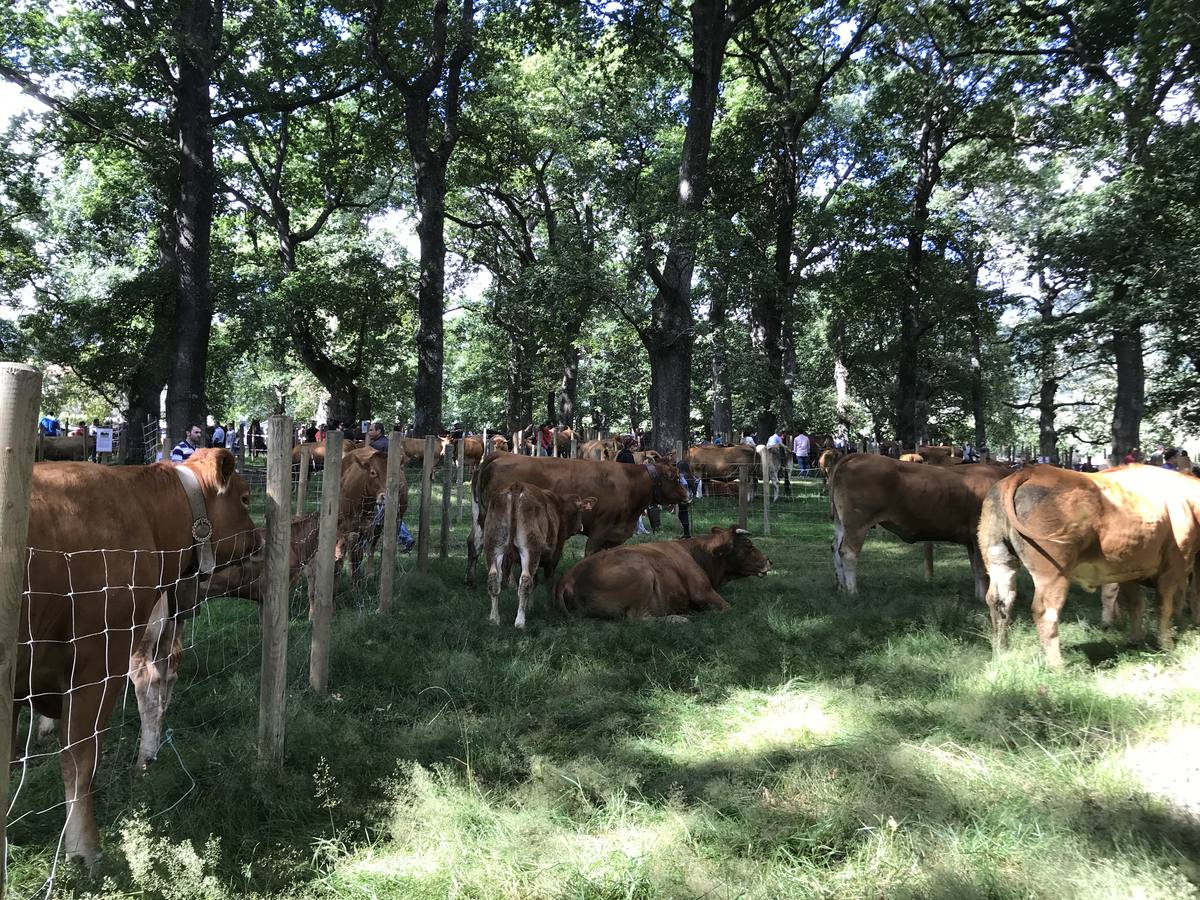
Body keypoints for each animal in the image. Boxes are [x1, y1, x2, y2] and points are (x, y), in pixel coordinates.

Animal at [468, 458, 686, 585]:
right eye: (676, 477)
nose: (688, 494)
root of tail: (498, 456)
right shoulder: (600, 528)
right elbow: (589, 554)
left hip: (481, 516)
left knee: (474, 542)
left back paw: (470, 580)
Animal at [552, 525, 768, 624]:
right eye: (748, 545)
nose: (769, 561)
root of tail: (568, 577)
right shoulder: (703, 591)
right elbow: (729, 608)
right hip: (643, 573)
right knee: (637, 618)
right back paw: (678, 618)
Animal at [830, 453, 1017, 602]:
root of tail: (858, 456)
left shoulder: (971, 541)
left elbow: (977, 570)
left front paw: (979, 598)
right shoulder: (978, 537)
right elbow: (984, 570)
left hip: (841, 524)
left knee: (835, 548)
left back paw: (841, 587)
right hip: (857, 523)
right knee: (848, 552)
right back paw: (853, 592)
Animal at [979, 465, 1200, 672]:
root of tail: (1030, 472)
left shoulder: (1129, 571)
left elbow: (1136, 604)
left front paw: (1136, 640)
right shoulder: (1174, 567)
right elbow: (1166, 606)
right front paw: (1168, 644)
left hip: (1000, 560)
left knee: (999, 602)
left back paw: (1002, 652)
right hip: (1053, 573)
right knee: (1045, 611)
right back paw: (1058, 665)